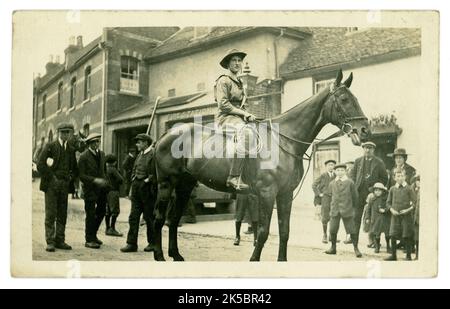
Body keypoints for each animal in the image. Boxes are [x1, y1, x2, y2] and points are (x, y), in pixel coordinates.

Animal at [151, 70, 370, 260]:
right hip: (166, 184)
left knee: (173, 219)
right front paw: (254, 259)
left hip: (184, 185)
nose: (365, 130)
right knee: (159, 218)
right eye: (344, 99)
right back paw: (159, 255)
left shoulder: (285, 194)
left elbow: (284, 231)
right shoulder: (267, 192)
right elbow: (263, 232)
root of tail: (166, 134)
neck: (284, 140)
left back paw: (175, 255)